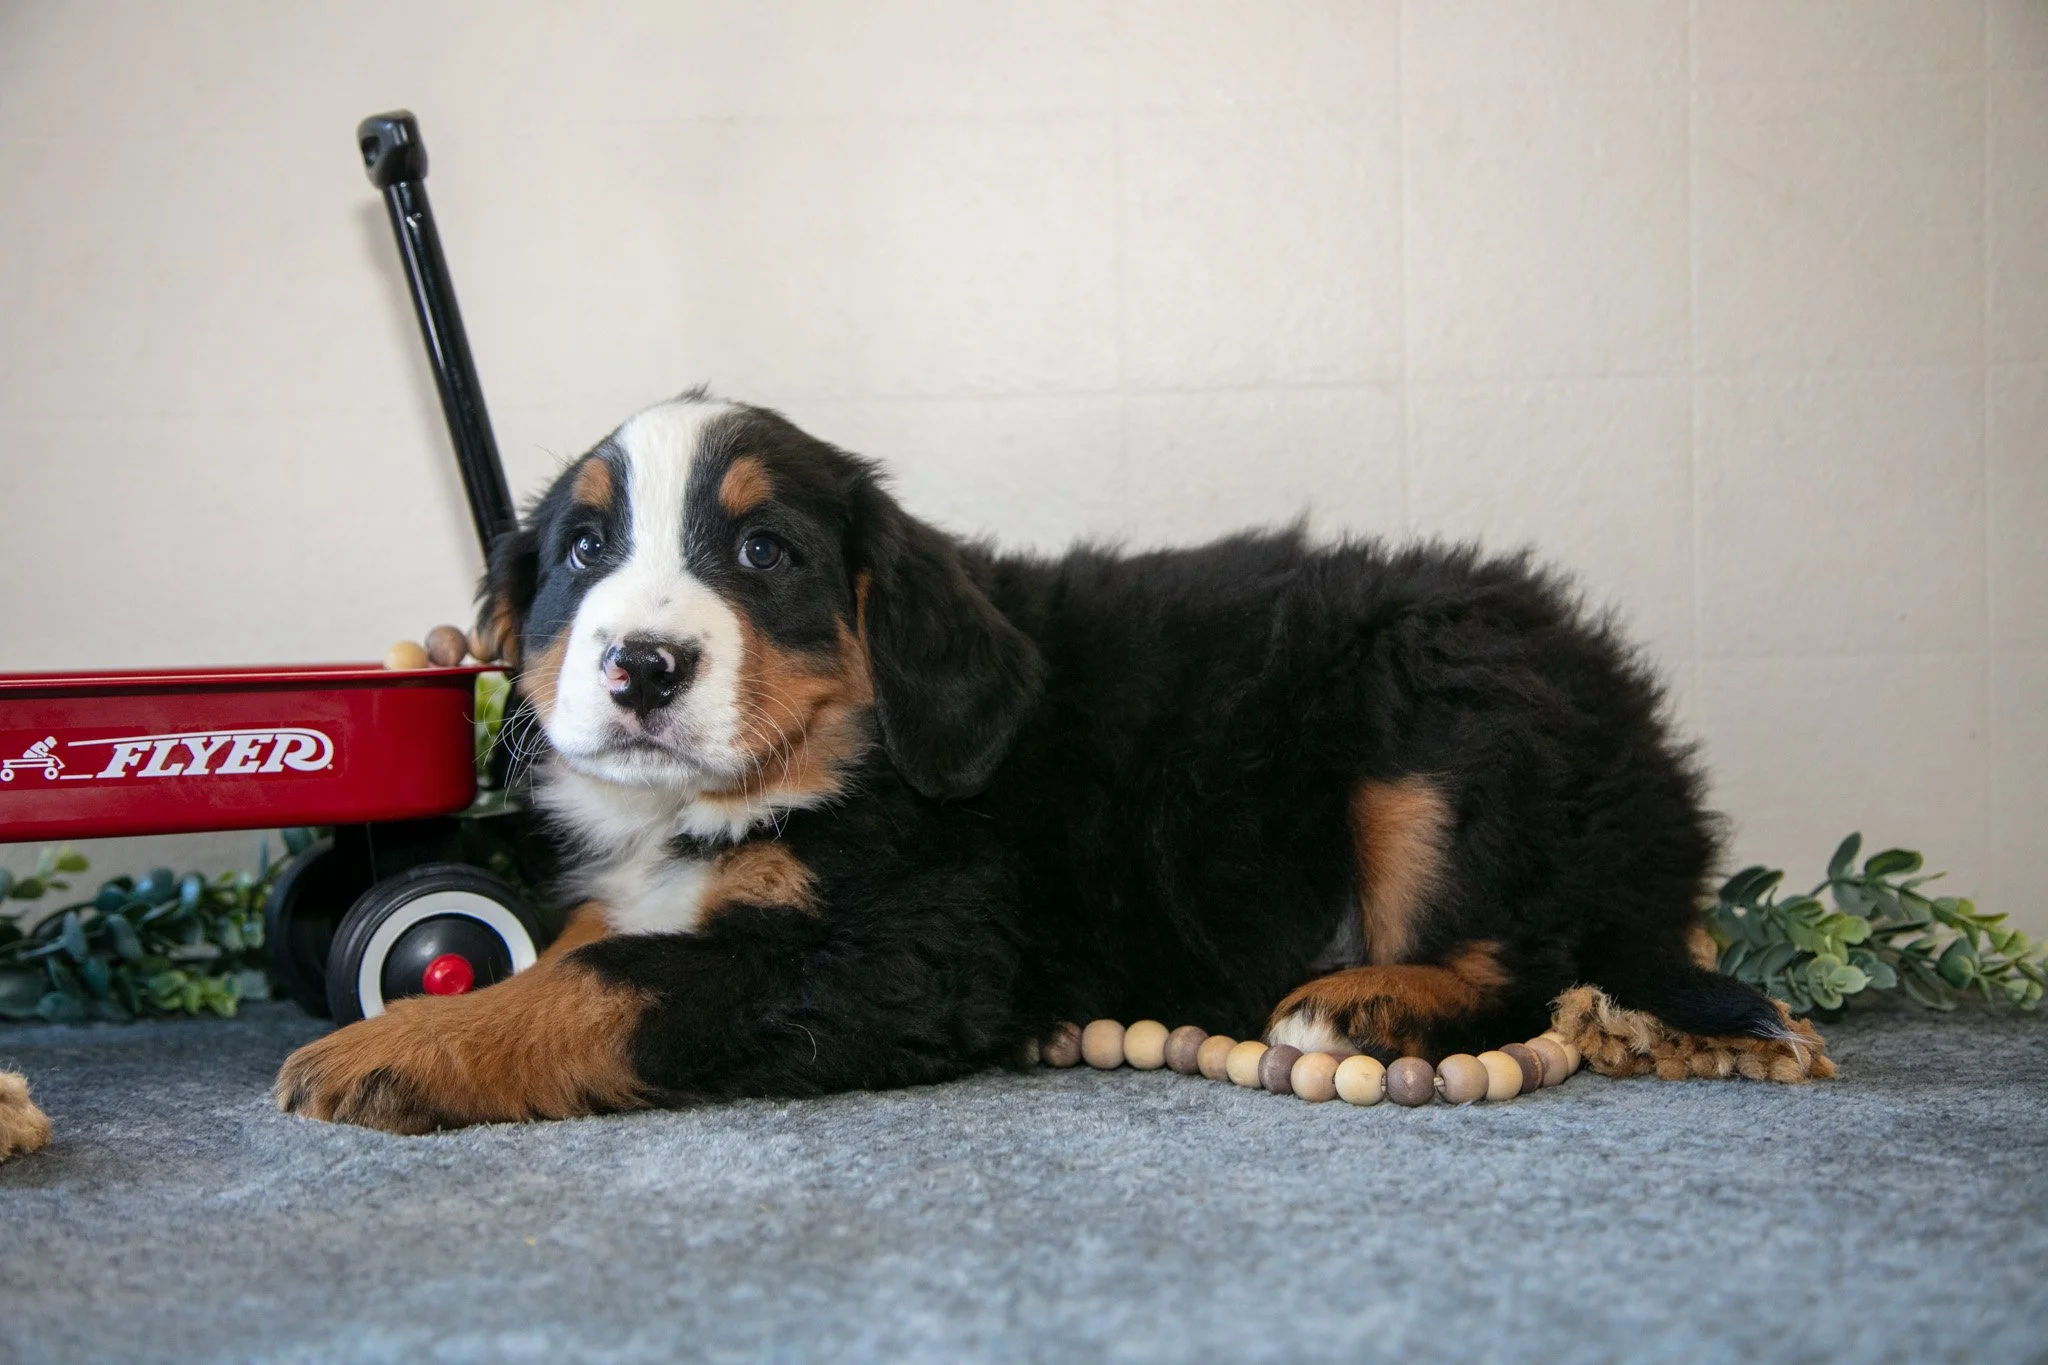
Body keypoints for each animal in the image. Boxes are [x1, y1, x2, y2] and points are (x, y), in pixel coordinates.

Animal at [271, 391, 1828, 1135]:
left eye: (764, 553)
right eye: (585, 549)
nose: (639, 668)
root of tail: (1652, 757)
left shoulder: (905, 950)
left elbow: (614, 979)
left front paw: (386, 1049)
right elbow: (595, 939)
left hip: (1437, 720)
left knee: (1527, 946)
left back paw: (1362, 1004)